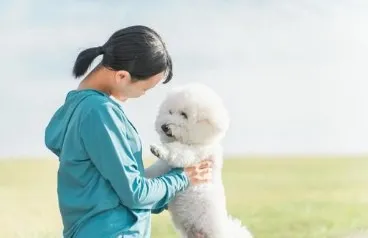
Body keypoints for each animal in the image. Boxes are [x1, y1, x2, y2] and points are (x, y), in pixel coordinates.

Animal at [144, 83, 253, 238]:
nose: (164, 126)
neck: (195, 141)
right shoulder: (163, 166)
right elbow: (154, 171)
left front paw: (159, 149)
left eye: (184, 114)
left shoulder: (195, 154)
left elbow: (177, 151)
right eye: (170, 111)